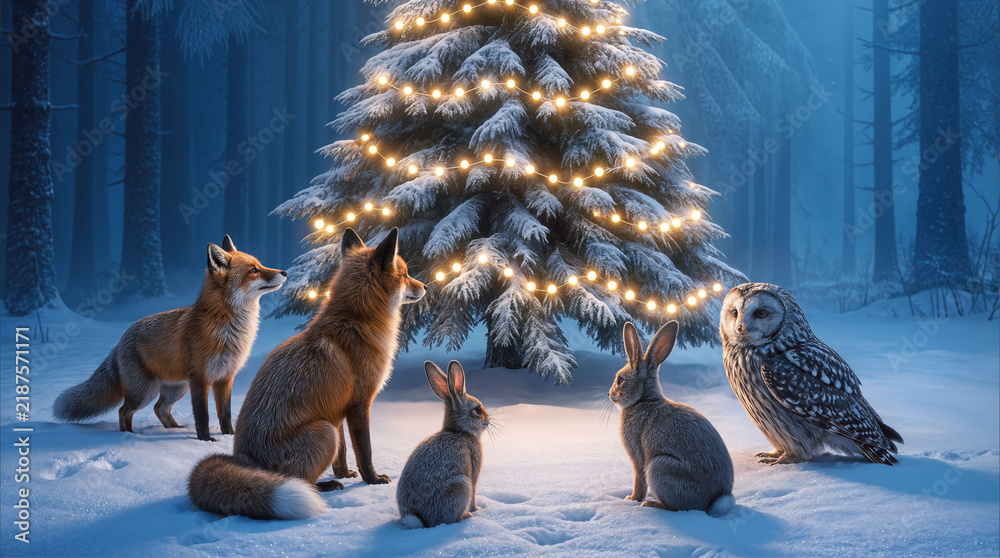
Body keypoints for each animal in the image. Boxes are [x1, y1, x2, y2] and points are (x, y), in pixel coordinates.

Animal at [54, 235, 286, 442]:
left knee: (160, 408)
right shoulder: (200, 379)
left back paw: (174, 428)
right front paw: (206, 440)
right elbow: (203, 415)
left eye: (260, 265)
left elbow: (225, 414)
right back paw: (129, 435)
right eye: (253, 270)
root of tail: (122, 339)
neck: (228, 330)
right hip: (145, 392)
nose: (284, 271)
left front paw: (230, 437)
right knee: (124, 410)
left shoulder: (225, 377)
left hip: (177, 388)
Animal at [188, 227, 425, 520]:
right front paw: (373, 480)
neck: (356, 322)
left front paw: (344, 473)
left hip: (327, 427)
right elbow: (365, 451)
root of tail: (245, 461)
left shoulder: (337, 409)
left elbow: (342, 454)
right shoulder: (359, 404)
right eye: (405, 275)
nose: (426, 287)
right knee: (301, 480)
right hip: (323, 432)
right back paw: (325, 487)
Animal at [396, 360, 490, 528]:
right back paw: (468, 515)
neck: (458, 431)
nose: (488, 420)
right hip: (461, 485)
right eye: (477, 409)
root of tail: (417, 517)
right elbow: (474, 494)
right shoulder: (473, 472)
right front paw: (477, 509)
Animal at [609, 321, 736, 517]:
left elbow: (639, 481)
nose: (610, 395)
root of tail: (712, 501)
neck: (643, 400)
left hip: (658, 466)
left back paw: (650, 504)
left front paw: (631, 499)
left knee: (675, 507)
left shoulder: (637, 458)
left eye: (620, 380)